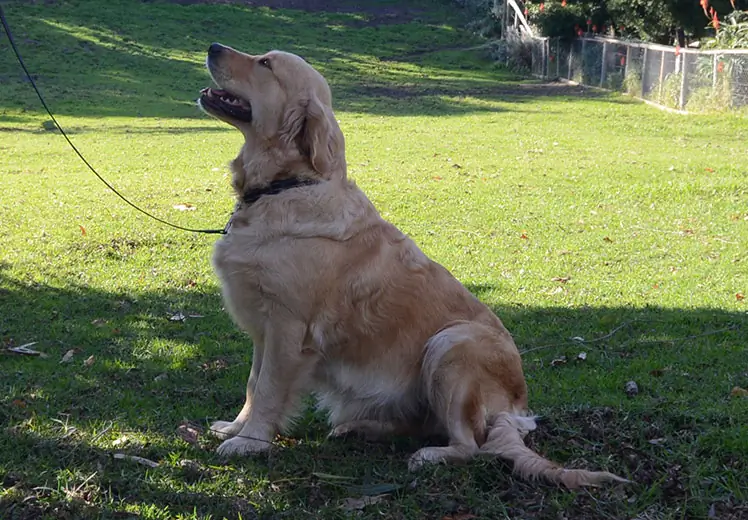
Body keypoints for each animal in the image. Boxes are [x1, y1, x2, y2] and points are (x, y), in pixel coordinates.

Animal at [196, 42, 628, 490]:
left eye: (265, 64)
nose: (213, 46)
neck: (285, 187)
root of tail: (515, 409)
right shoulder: (265, 331)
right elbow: (253, 384)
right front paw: (235, 427)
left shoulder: (287, 328)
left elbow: (267, 389)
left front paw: (250, 441)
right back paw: (359, 428)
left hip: (451, 344)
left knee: (470, 446)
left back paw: (430, 455)